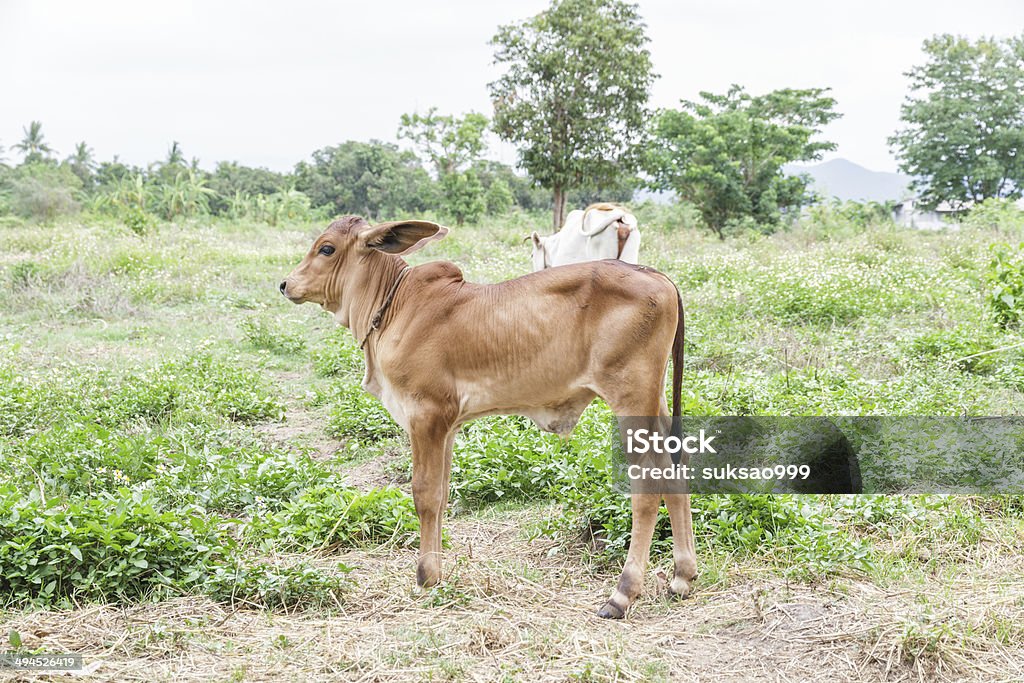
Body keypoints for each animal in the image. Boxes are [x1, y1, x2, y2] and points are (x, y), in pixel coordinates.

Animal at [280, 216, 696, 618]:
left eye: (327, 248)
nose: (286, 284)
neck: (394, 306)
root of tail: (654, 274)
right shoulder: (446, 426)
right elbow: (442, 495)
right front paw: (438, 573)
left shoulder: (426, 415)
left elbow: (424, 495)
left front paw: (425, 577)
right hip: (655, 401)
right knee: (673, 473)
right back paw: (682, 576)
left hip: (630, 399)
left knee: (647, 487)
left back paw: (622, 595)